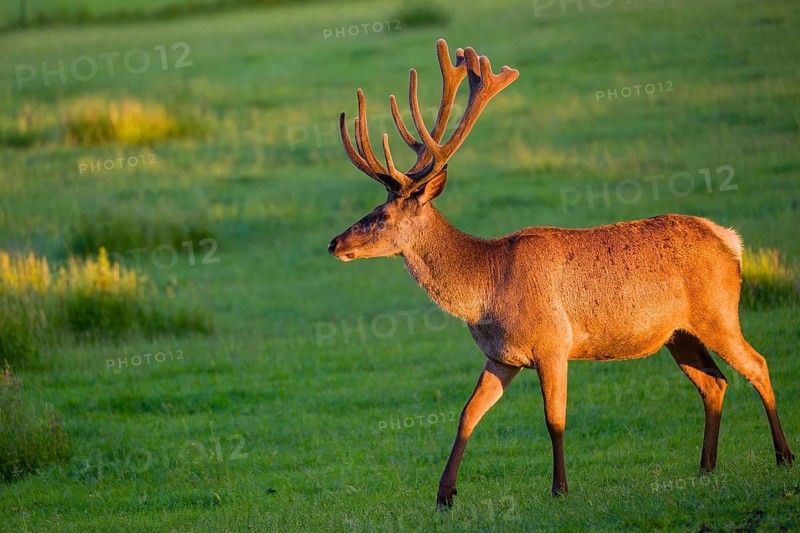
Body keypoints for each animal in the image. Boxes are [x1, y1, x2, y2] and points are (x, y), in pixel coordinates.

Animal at [327, 39, 794, 509]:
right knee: (714, 382)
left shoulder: (553, 343)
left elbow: (555, 420)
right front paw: (444, 496)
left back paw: (783, 456)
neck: (485, 291)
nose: (334, 243)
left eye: (381, 216)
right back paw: (706, 467)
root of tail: (730, 240)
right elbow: (467, 414)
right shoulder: (501, 356)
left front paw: (560, 487)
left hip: (718, 312)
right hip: (678, 333)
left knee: (757, 364)